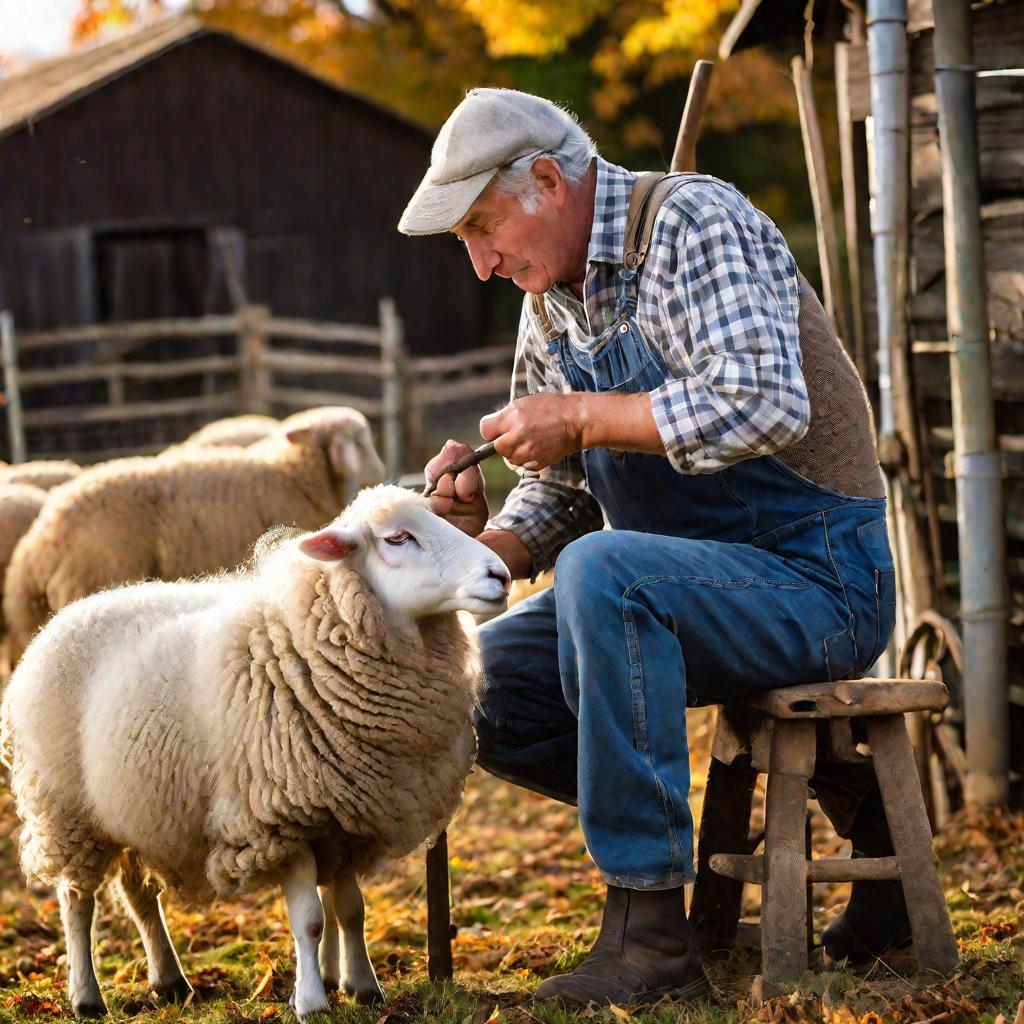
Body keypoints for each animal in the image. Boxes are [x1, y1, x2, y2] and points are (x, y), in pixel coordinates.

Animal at [0, 483, 512, 1019]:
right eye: (397, 538)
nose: (500, 574)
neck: (304, 641)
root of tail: (67, 615)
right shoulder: (283, 820)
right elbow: (310, 920)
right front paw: (312, 1002)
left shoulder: (348, 819)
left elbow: (351, 910)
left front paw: (364, 987)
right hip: (66, 812)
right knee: (77, 901)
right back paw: (86, 995)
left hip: (136, 810)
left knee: (138, 895)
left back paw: (169, 980)